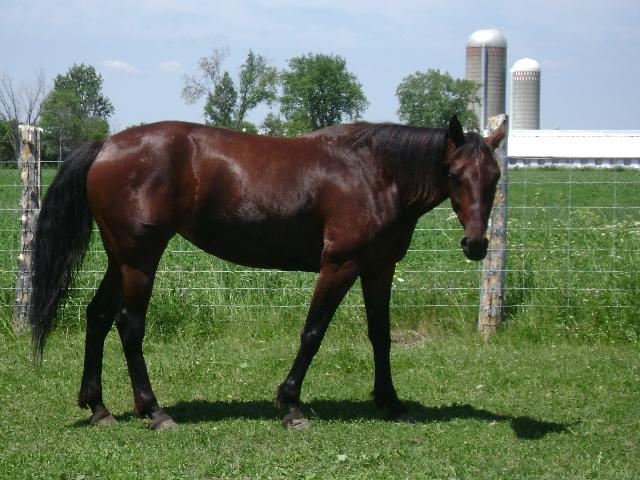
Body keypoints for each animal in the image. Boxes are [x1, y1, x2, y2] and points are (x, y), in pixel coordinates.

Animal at [29, 115, 504, 430]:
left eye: (496, 176)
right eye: (455, 174)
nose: (476, 244)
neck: (375, 172)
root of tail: (106, 145)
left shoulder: (379, 268)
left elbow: (381, 336)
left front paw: (391, 402)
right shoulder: (339, 265)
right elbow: (313, 333)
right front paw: (291, 406)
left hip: (121, 258)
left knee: (96, 317)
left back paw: (99, 408)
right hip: (140, 259)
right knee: (129, 325)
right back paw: (155, 411)